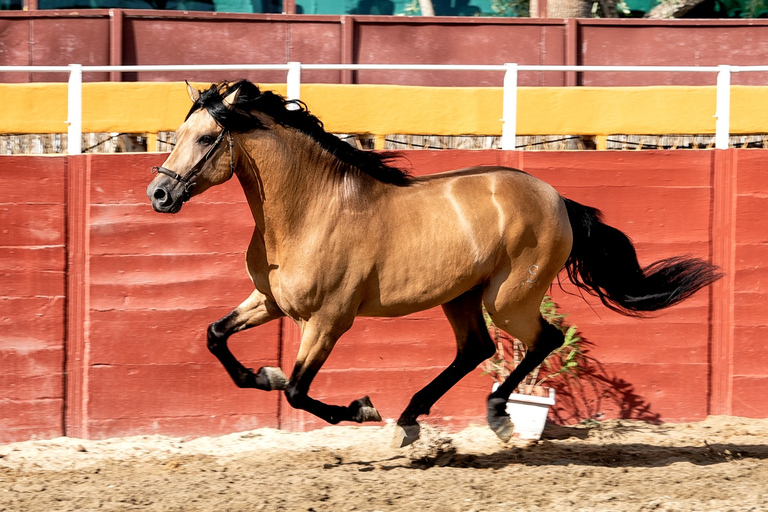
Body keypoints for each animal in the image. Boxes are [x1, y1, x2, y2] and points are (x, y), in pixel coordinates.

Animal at [147, 81, 724, 448]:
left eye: (206, 138)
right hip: (462, 296)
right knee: (477, 349)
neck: (312, 210)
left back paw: (494, 418)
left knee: (543, 339)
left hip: (508, 298)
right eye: (180, 134)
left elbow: (297, 390)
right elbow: (217, 337)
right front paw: (262, 374)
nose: (159, 194)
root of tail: (558, 199)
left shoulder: (329, 320)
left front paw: (361, 407)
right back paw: (411, 418)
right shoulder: (270, 302)